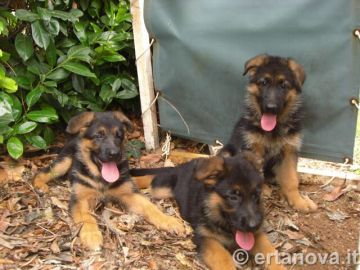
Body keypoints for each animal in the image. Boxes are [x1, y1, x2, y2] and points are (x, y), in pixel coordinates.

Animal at [32, 111, 184, 251]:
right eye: (99, 136)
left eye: (119, 135)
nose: (115, 154)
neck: (101, 178)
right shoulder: (79, 199)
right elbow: (87, 217)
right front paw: (91, 235)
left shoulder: (129, 193)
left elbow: (150, 207)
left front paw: (168, 220)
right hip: (64, 162)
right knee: (43, 172)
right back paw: (39, 185)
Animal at [131, 153, 286, 268]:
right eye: (233, 197)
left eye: (256, 196)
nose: (254, 225)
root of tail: (182, 167)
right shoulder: (206, 239)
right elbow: (224, 259)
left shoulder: (256, 235)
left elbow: (271, 251)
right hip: (160, 190)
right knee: (152, 179)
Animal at [222, 53, 318, 213]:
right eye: (263, 83)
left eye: (283, 85)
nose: (270, 108)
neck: (273, 130)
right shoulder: (252, 149)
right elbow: (255, 176)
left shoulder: (289, 151)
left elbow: (291, 180)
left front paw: (298, 201)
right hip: (226, 152)